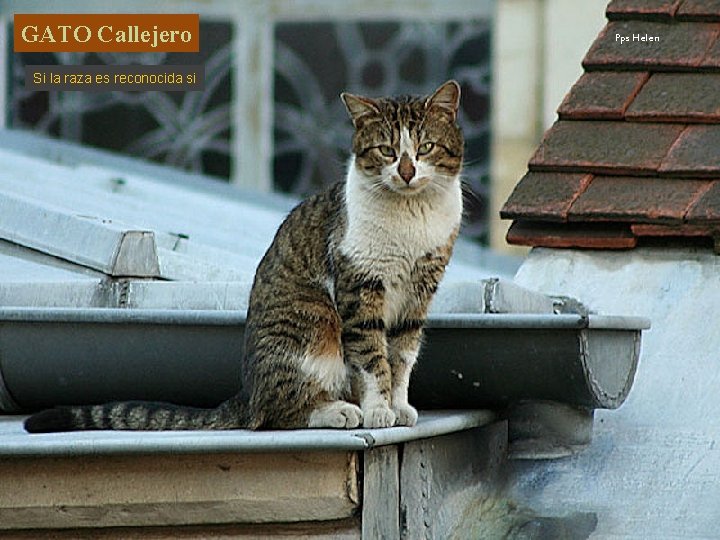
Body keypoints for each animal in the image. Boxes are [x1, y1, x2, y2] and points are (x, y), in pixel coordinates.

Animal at [25, 80, 464, 432]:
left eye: (425, 147)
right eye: (387, 150)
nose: (406, 172)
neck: (410, 217)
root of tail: (245, 394)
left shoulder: (419, 290)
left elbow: (402, 355)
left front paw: (399, 404)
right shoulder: (360, 286)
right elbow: (372, 357)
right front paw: (378, 409)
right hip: (313, 324)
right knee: (274, 413)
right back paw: (337, 411)